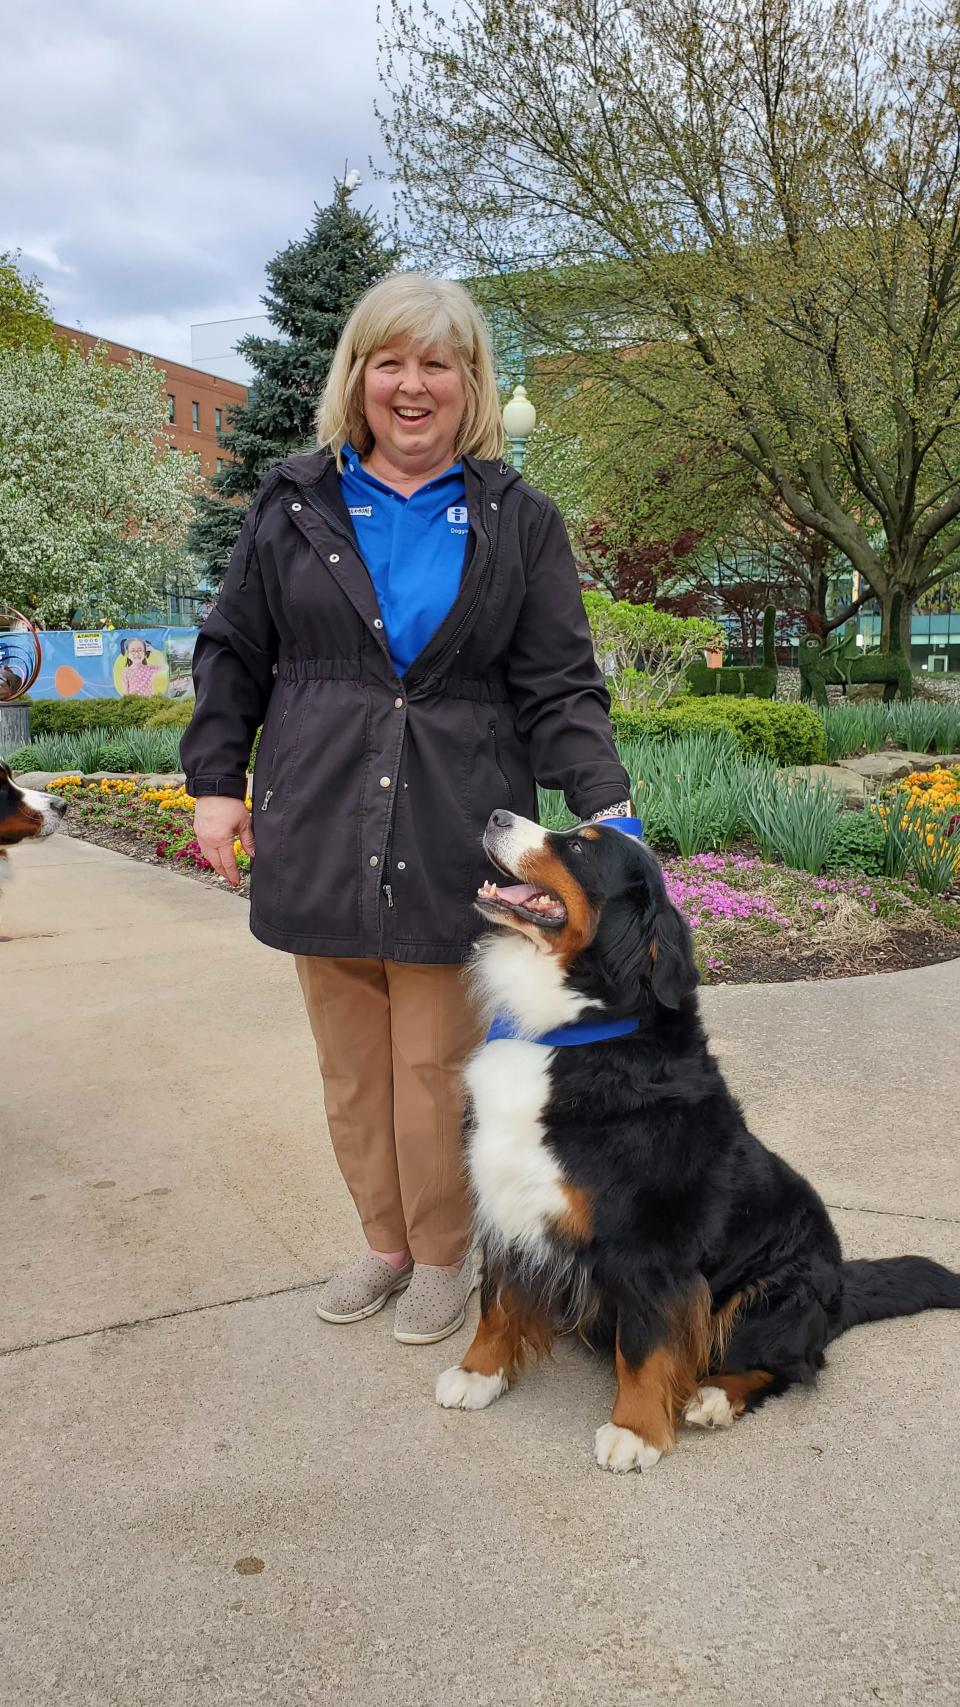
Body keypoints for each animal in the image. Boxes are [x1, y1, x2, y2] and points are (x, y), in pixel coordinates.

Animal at [435, 809, 956, 1468]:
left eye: (579, 846)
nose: (498, 815)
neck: (572, 1030)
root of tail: (839, 1287)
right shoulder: (507, 1198)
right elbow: (497, 1302)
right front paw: (478, 1374)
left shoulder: (653, 1245)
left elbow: (645, 1346)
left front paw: (635, 1431)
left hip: (775, 1291)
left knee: (791, 1365)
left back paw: (713, 1397)